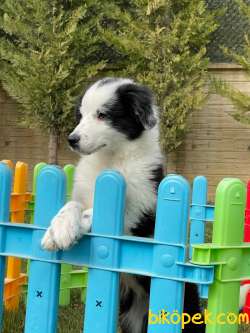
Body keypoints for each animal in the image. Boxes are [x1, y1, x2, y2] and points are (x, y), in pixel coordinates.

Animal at [41, 78, 204, 332]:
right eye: (81, 115)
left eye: (103, 115)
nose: (72, 140)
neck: (111, 160)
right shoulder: (82, 193)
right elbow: (73, 206)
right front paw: (58, 230)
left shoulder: (137, 209)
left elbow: (94, 212)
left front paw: (65, 232)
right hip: (131, 318)